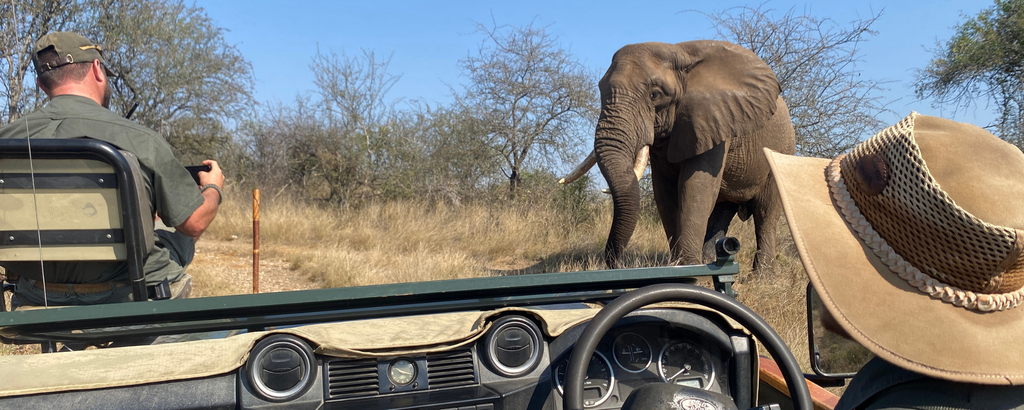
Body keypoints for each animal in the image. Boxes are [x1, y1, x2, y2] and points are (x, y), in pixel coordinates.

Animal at [565, 40, 794, 272]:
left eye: (655, 95)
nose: (620, 265)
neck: (680, 52)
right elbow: (665, 193)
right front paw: (680, 268)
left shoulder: (713, 122)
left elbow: (695, 187)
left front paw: (689, 269)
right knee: (722, 212)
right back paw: (712, 261)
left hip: (783, 150)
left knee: (765, 213)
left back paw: (762, 275)